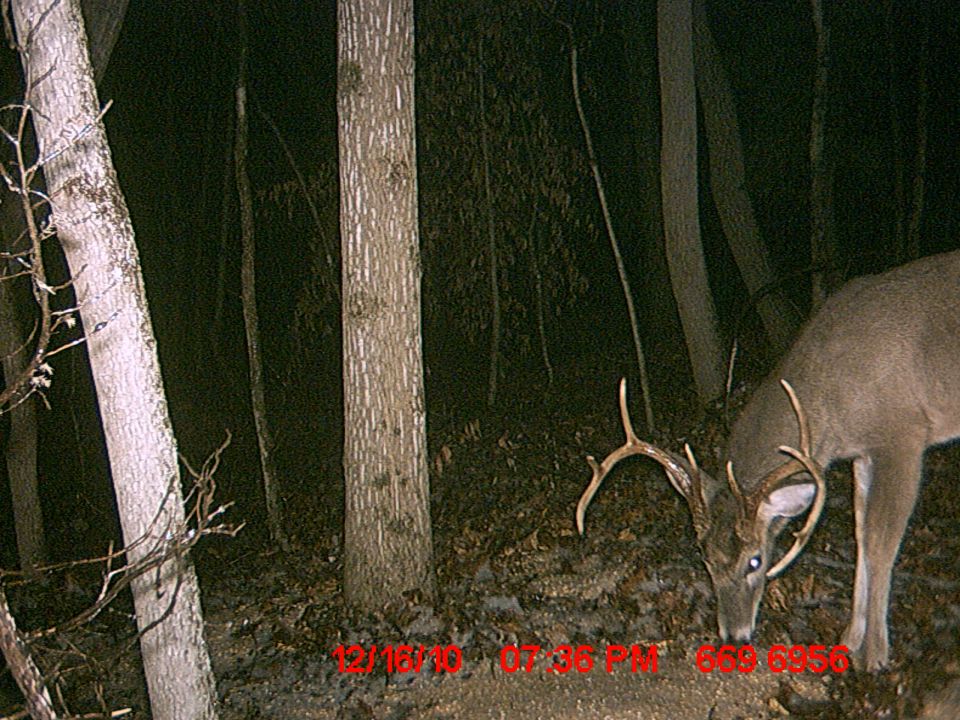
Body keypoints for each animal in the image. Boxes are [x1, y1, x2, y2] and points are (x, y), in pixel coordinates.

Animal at [576, 250, 960, 671]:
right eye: (705, 558)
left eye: (756, 561)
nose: (734, 637)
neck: (830, 401)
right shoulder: (862, 452)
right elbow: (860, 536)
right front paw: (847, 641)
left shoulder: (902, 434)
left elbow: (880, 541)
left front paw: (874, 656)